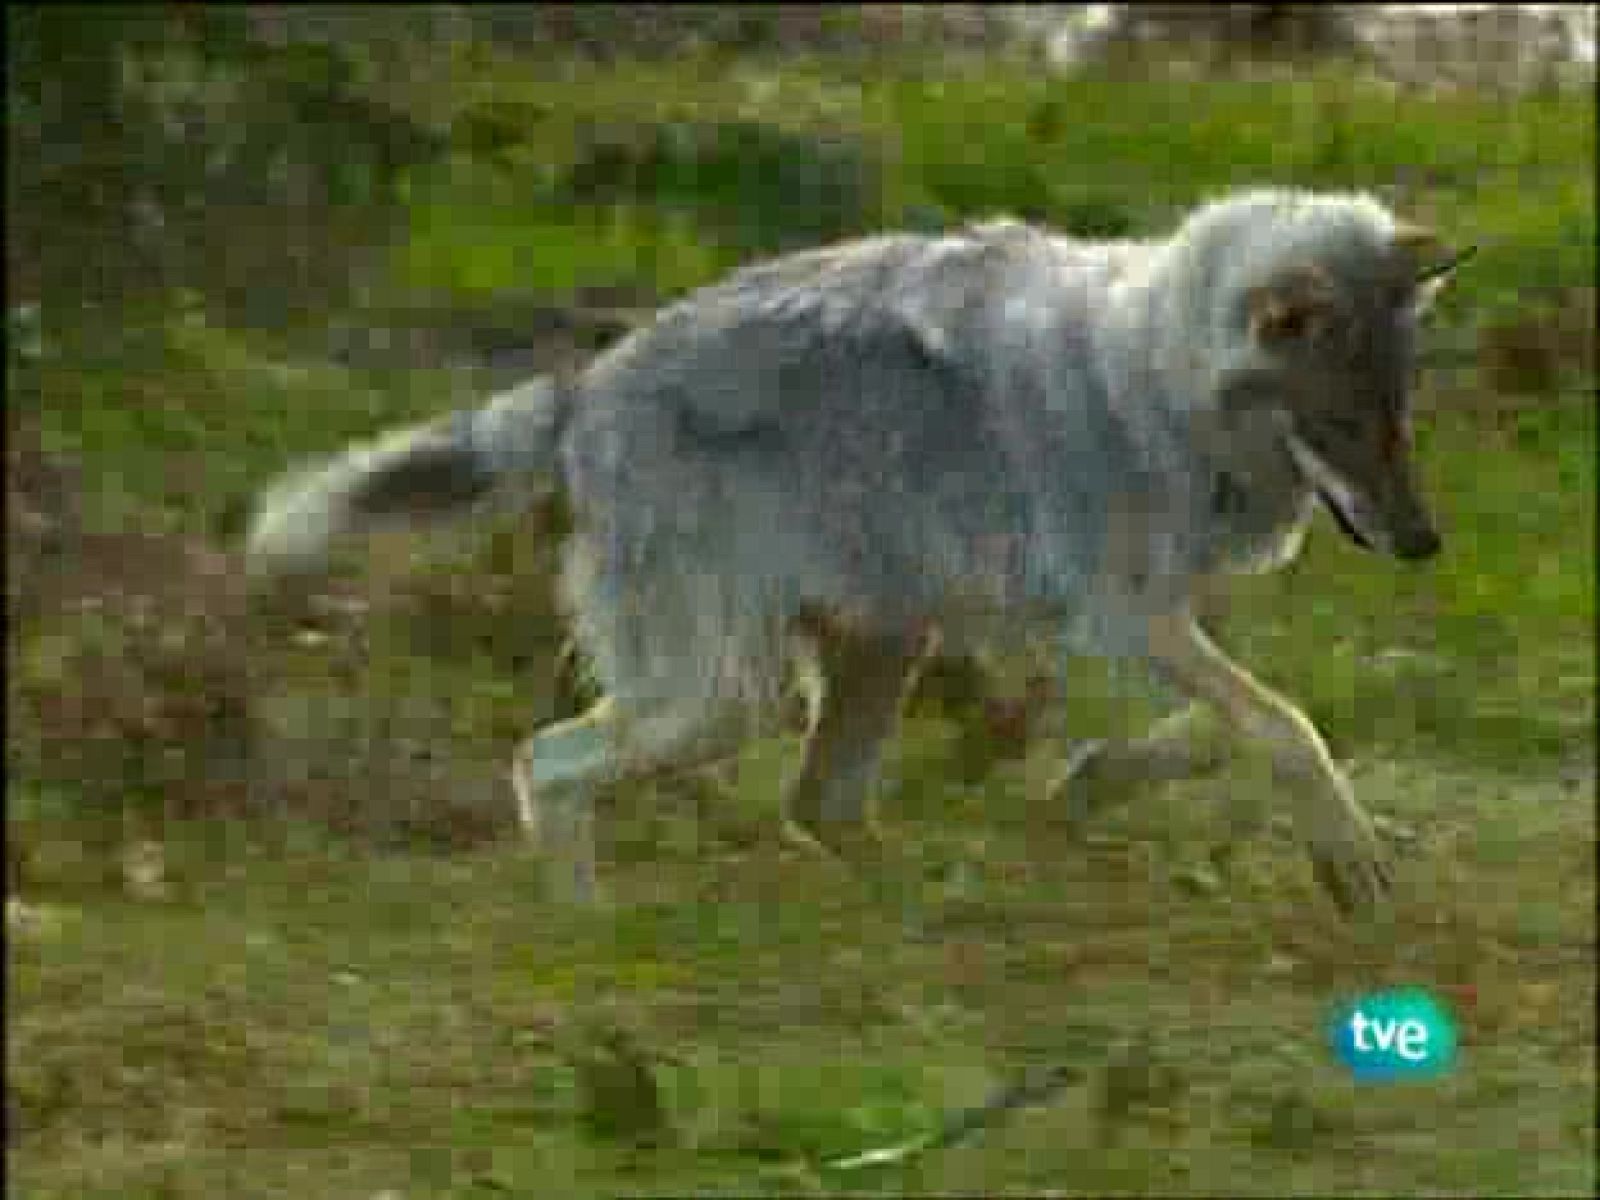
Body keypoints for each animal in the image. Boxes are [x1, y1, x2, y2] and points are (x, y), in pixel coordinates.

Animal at [247, 187, 1468, 914]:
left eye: (1398, 419)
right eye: (1339, 423)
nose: (1423, 544)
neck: (1152, 375)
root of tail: (586, 388)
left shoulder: (1171, 623)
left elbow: (1235, 728)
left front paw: (1093, 781)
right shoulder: (1126, 619)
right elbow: (1286, 725)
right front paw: (1348, 851)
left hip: (879, 646)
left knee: (817, 809)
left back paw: (935, 898)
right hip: (723, 699)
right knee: (546, 764)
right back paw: (583, 926)